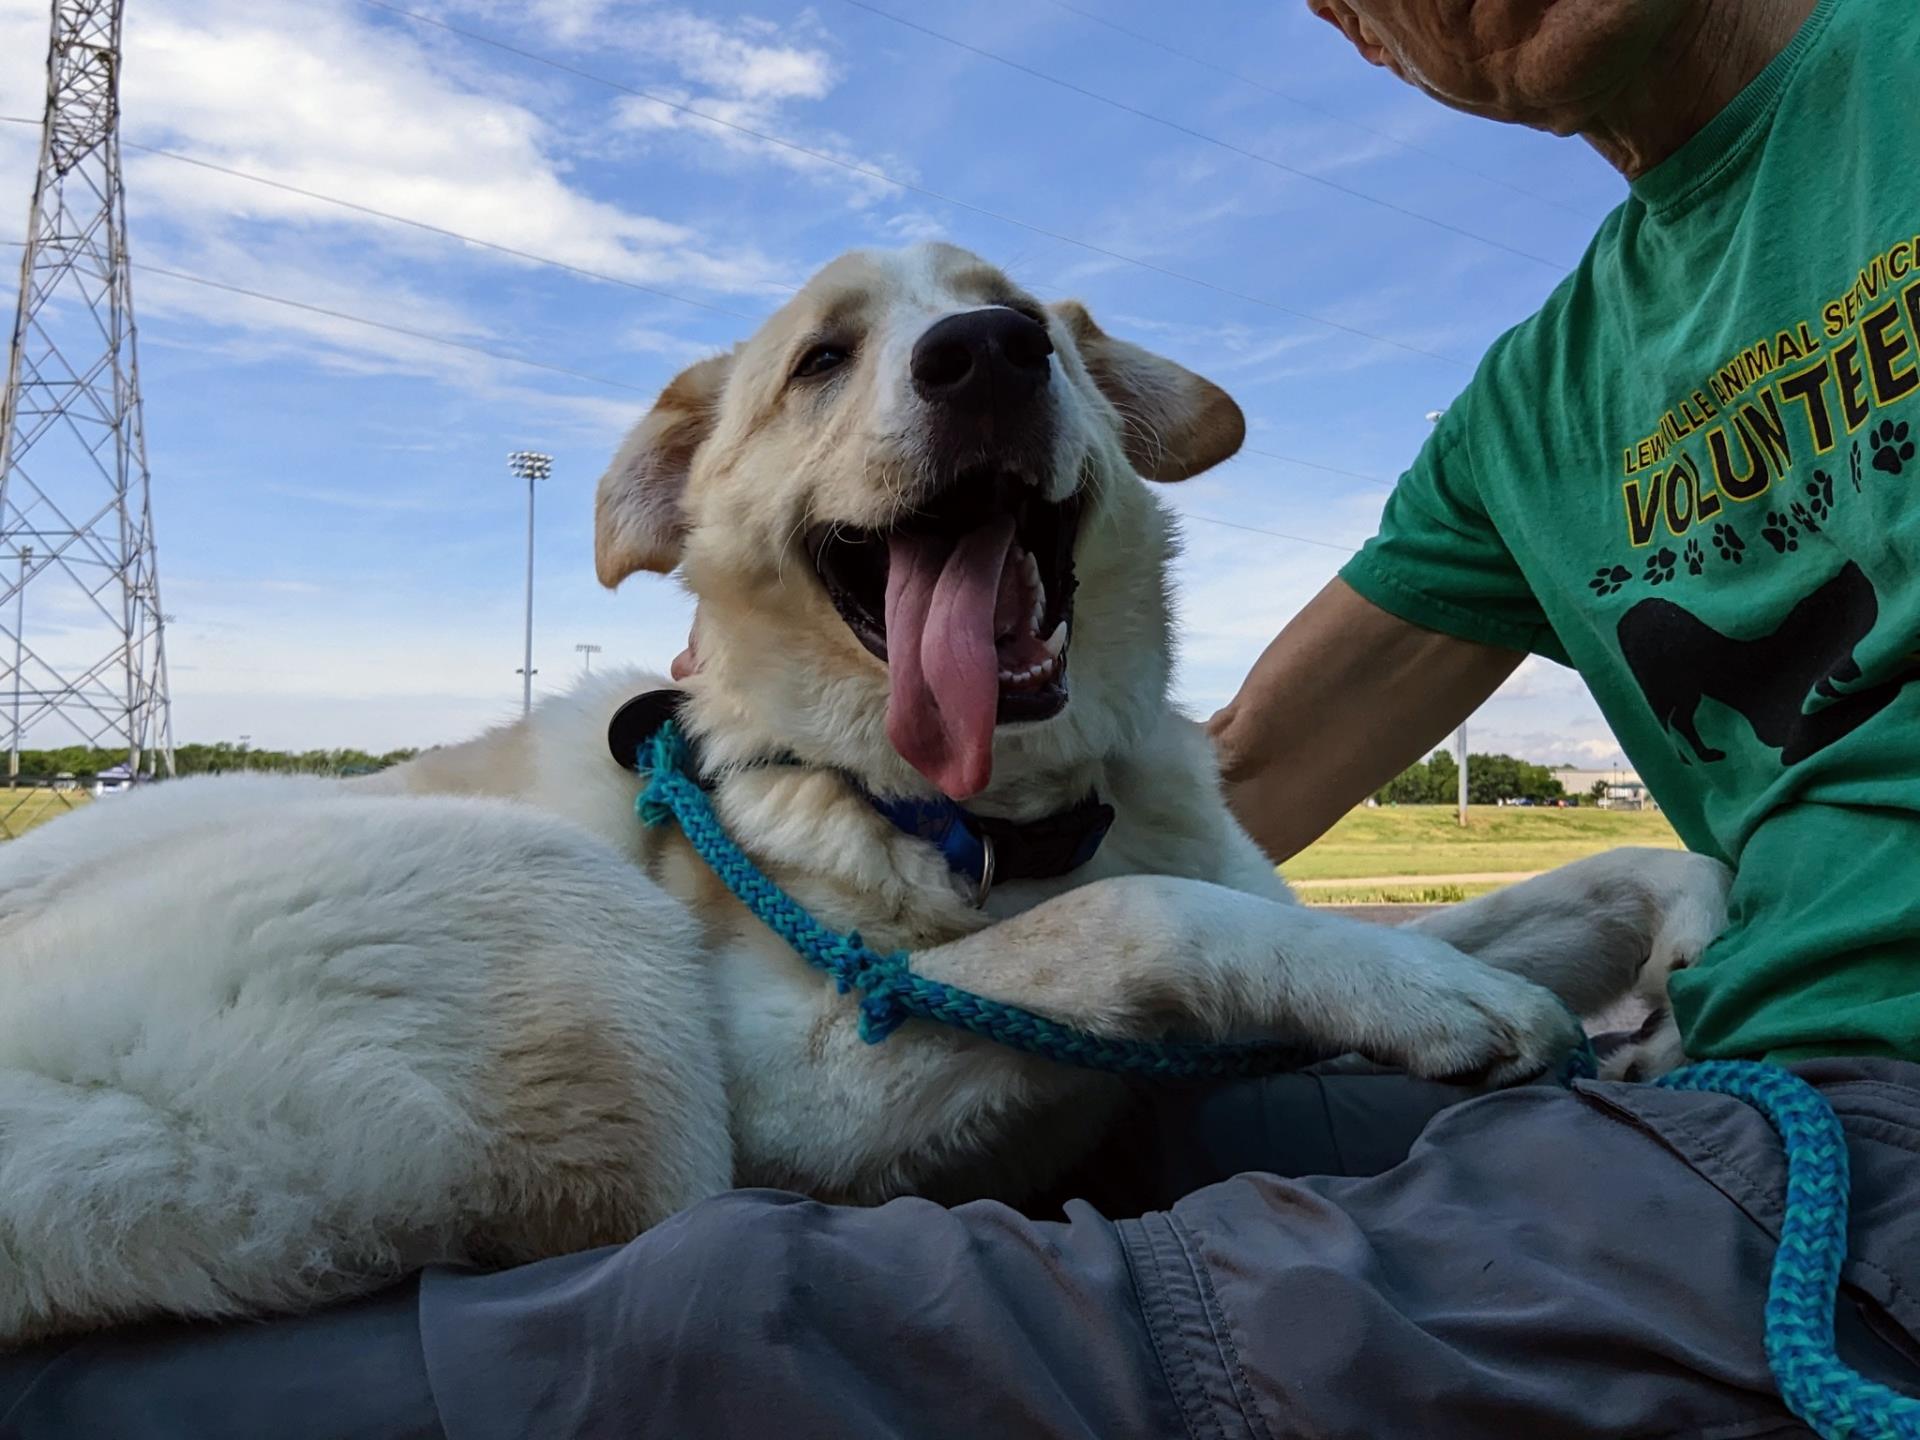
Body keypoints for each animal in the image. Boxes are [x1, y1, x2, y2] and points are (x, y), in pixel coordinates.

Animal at [0, 245, 1735, 1344]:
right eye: (822, 361)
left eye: (1025, 316)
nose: (988, 357)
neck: (995, 821)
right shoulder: (807, 1084)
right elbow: (1141, 919)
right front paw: (1435, 996)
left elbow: (1533, 900)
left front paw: (1677, 927)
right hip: (561, 925)